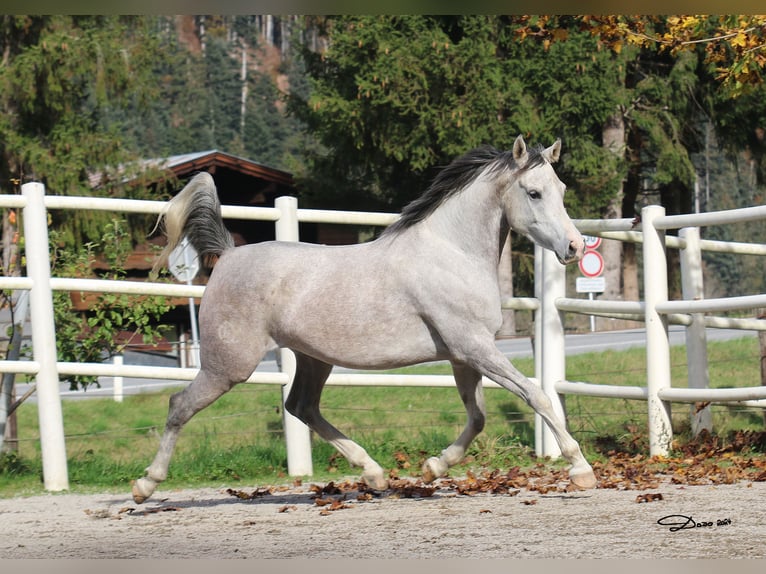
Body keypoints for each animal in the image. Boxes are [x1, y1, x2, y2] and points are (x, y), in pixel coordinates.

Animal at [132, 135, 596, 504]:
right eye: (533, 193)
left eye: (560, 188)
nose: (574, 247)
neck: (451, 253)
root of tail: (228, 256)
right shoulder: (473, 346)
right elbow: (536, 395)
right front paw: (581, 470)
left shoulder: (464, 354)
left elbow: (479, 416)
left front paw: (432, 467)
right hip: (228, 366)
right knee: (180, 406)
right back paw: (144, 486)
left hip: (313, 358)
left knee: (301, 406)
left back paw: (374, 475)